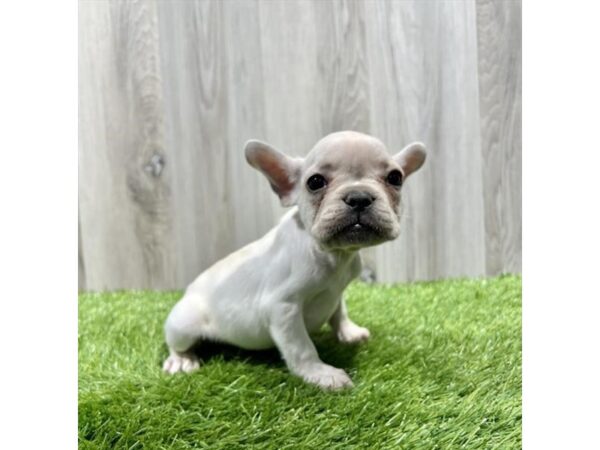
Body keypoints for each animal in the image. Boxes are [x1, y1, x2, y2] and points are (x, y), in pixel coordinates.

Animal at [163, 131, 426, 390]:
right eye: (315, 182)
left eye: (395, 178)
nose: (359, 196)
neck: (333, 254)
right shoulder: (283, 308)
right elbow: (302, 348)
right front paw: (321, 374)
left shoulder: (337, 292)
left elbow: (339, 311)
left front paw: (349, 332)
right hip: (184, 325)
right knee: (176, 343)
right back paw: (181, 360)